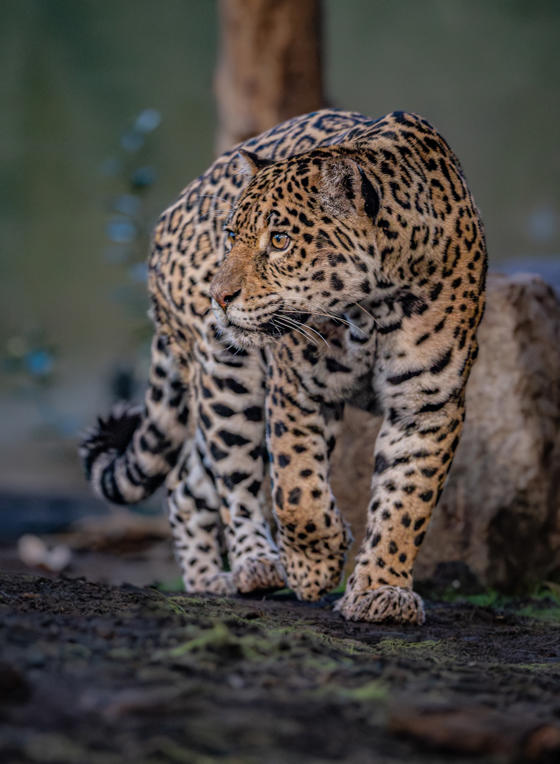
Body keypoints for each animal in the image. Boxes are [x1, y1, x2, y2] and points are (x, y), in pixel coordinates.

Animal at [80, 109, 487, 624]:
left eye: (279, 240)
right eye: (231, 237)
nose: (218, 296)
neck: (375, 304)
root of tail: (173, 209)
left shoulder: (427, 404)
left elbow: (406, 502)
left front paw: (382, 590)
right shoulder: (295, 388)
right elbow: (296, 491)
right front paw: (315, 565)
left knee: (187, 482)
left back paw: (209, 579)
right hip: (226, 376)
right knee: (230, 477)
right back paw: (256, 566)